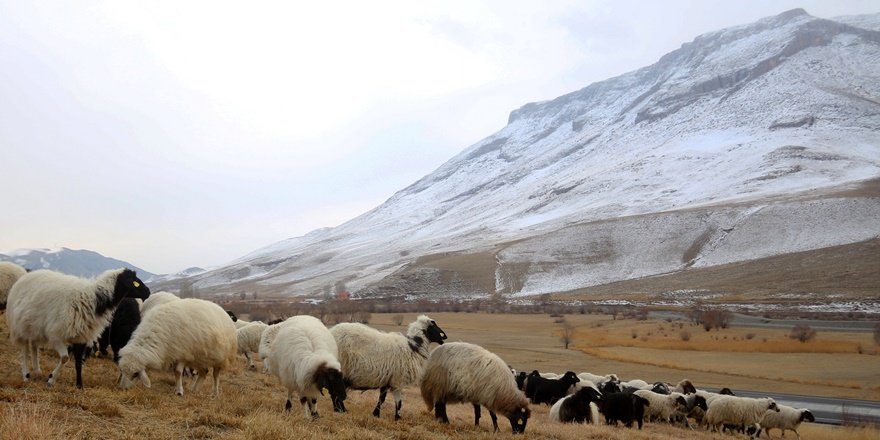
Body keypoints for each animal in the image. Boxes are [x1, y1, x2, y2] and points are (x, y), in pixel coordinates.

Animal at [6, 266, 153, 386]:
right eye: (135, 282)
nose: (148, 292)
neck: (93, 300)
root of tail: (27, 276)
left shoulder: (81, 336)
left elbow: (78, 363)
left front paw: (79, 385)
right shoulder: (56, 334)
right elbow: (65, 358)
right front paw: (51, 379)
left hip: (35, 327)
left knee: (34, 346)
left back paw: (37, 370)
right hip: (20, 325)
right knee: (25, 349)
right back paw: (26, 375)